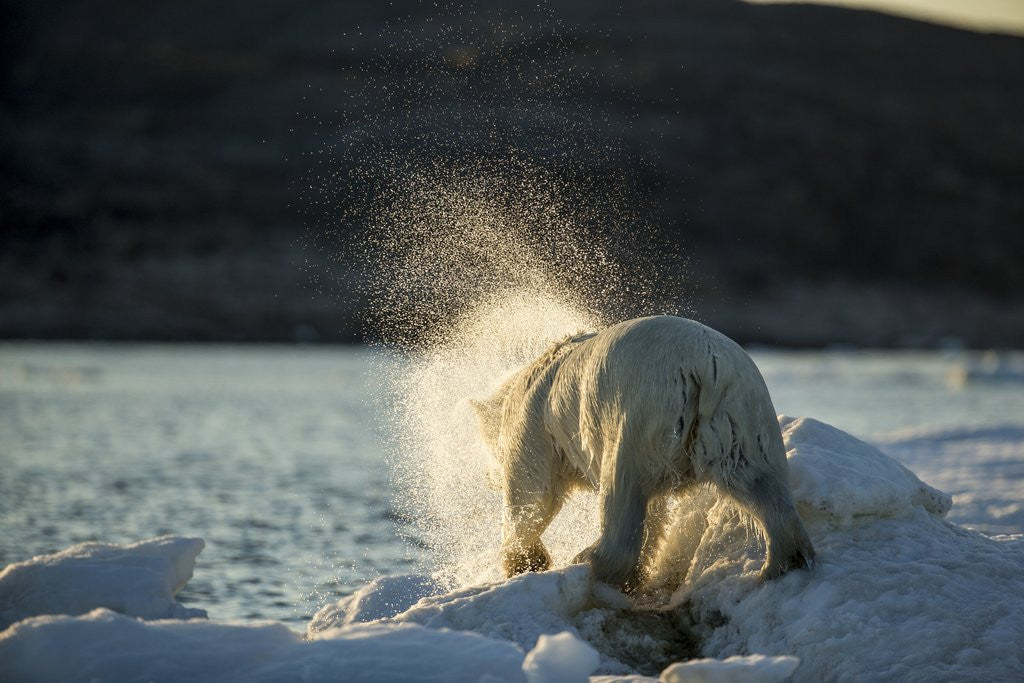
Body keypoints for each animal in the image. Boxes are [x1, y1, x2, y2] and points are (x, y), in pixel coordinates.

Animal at [471, 315, 815, 590]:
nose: (489, 479)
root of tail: (704, 367)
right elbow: (657, 513)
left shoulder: (534, 425)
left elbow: (533, 495)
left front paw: (526, 562)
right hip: (742, 417)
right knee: (761, 483)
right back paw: (781, 562)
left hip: (640, 412)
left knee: (621, 491)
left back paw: (591, 560)